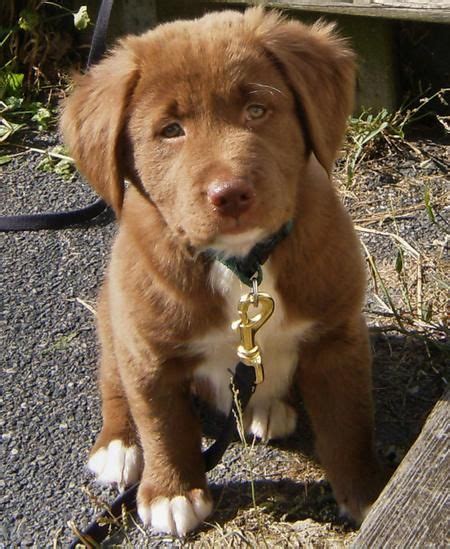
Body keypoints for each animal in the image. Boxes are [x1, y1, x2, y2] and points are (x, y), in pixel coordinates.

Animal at [59, 7, 384, 536]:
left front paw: (368, 492)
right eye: (171, 130)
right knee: (113, 382)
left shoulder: (337, 335)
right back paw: (118, 447)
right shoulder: (147, 351)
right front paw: (171, 493)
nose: (229, 194)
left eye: (256, 110)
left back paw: (267, 407)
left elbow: (348, 422)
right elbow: (162, 422)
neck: (244, 265)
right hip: (112, 317)